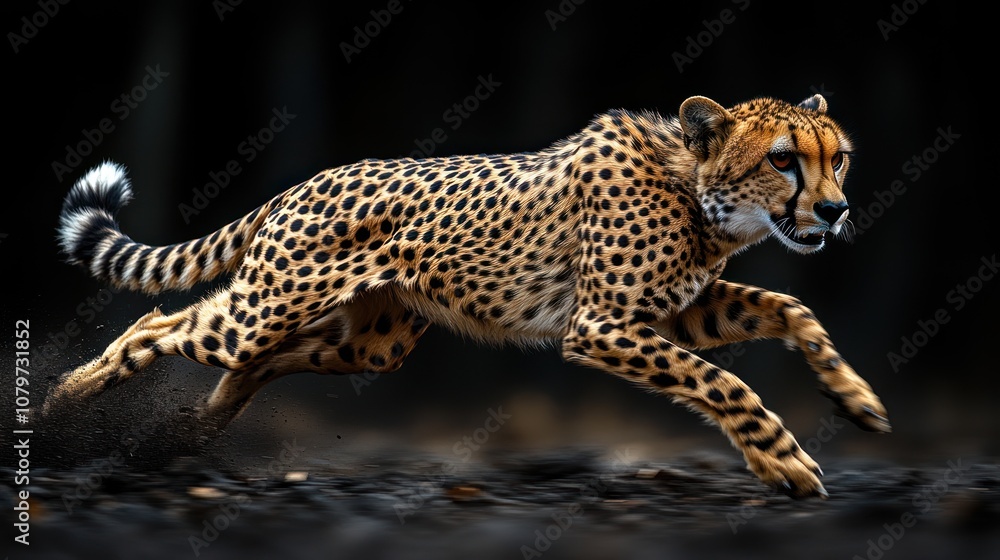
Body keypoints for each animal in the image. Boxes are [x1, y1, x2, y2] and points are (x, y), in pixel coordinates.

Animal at [46, 93, 890, 498]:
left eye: (839, 158)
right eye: (782, 159)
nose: (835, 210)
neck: (697, 190)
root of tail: (302, 182)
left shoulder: (680, 311)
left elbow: (793, 311)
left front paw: (855, 400)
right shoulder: (599, 324)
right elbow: (725, 384)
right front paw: (784, 464)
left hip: (371, 343)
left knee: (256, 362)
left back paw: (188, 428)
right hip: (267, 308)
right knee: (163, 324)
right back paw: (61, 403)